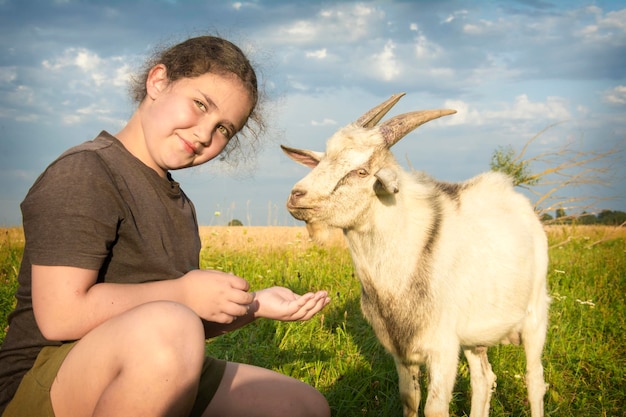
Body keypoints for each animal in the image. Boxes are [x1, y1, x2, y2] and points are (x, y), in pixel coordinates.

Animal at [280, 93, 548, 416]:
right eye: (323, 160)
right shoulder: (401, 350)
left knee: (534, 381)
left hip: (536, 315)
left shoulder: (443, 349)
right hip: (475, 335)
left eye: (361, 171)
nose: (297, 195)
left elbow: (434, 408)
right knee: (484, 379)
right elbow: (409, 398)